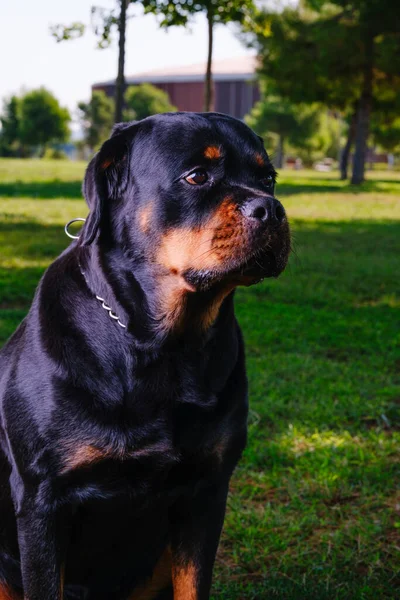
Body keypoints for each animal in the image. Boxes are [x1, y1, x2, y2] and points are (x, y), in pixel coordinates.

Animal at [0, 113, 290, 600]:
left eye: (267, 179)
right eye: (197, 176)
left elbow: (194, 584)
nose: (271, 209)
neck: (162, 345)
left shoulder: (207, 491)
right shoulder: (41, 500)